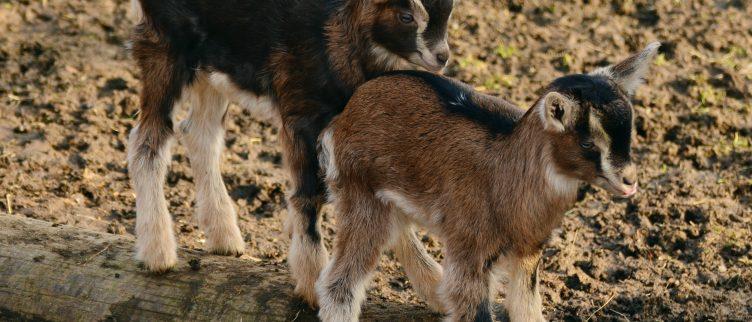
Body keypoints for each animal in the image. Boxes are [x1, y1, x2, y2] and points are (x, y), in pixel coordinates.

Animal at [127, 0, 456, 306]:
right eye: (406, 16)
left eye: (449, 9)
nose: (441, 57)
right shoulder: (301, 114)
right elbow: (309, 195)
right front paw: (312, 282)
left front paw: (434, 289)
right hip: (165, 46)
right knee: (147, 141)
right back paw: (158, 253)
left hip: (214, 64)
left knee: (199, 134)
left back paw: (224, 237)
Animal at [314, 43, 656, 322]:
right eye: (587, 143)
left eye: (629, 132)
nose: (629, 181)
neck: (505, 174)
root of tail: (346, 113)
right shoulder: (471, 250)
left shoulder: (528, 252)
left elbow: (527, 307)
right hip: (360, 194)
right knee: (339, 280)